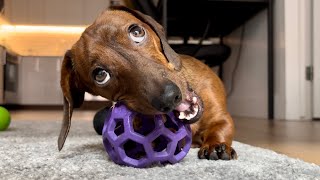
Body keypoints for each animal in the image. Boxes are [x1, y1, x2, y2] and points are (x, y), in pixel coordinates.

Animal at [58, 5, 238, 160]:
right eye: (101, 75)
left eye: (136, 31)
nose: (169, 98)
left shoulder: (221, 118)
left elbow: (220, 127)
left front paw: (217, 145)